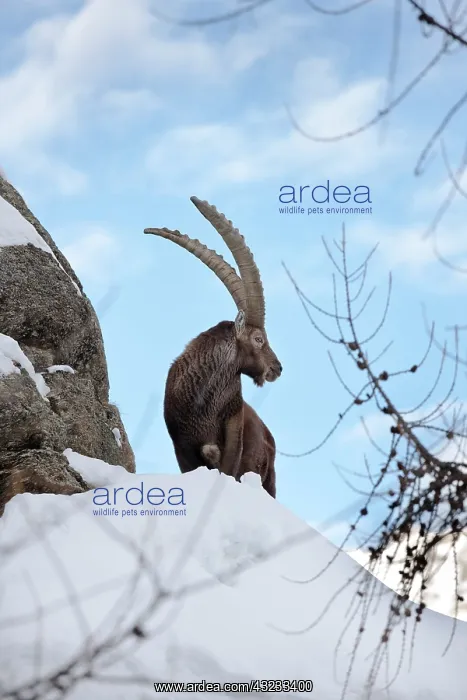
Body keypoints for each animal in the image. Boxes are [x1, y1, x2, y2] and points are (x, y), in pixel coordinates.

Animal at [144, 197, 282, 497]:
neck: (204, 402)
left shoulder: (233, 435)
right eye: (259, 339)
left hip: (269, 479)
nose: (277, 368)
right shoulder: (182, 446)